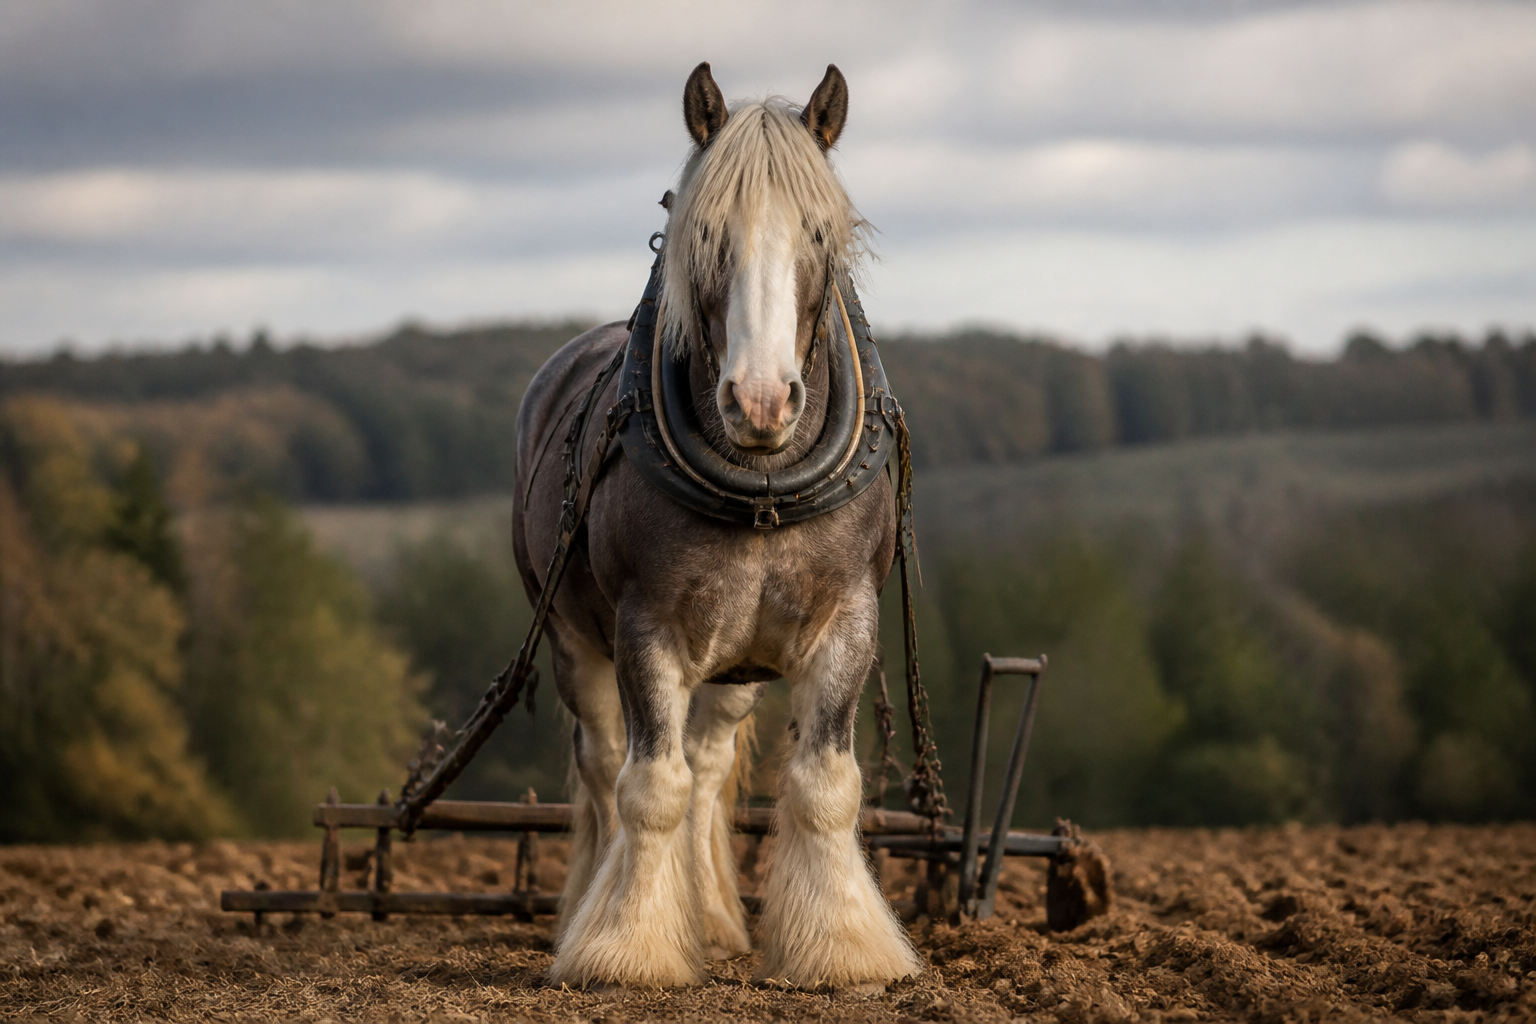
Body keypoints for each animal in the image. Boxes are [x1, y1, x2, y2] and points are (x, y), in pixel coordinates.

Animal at [512, 62, 920, 991]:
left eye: (818, 232)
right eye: (704, 234)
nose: (761, 401)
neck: (761, 483)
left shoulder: (848, 619)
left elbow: (824, 783)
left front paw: (842, 950)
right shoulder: (645, 627)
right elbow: (646, 788)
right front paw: (626, 947)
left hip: (734, 662)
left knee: (705, 770)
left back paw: (710, 919)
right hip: (573, 640)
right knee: (604, 768)